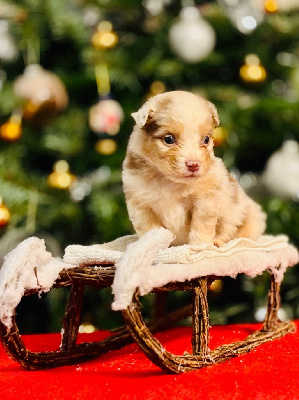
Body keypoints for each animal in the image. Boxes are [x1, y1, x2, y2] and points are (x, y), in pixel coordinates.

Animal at [122, 91, 268, 247]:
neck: (172, 183)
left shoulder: (205, 201)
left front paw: (199, 247)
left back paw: (218, 242)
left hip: (250, 215)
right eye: (169, 139)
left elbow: (201, 227)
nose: (193, 164)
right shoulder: (140, 206)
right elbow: (151, 232)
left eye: (206, 139)